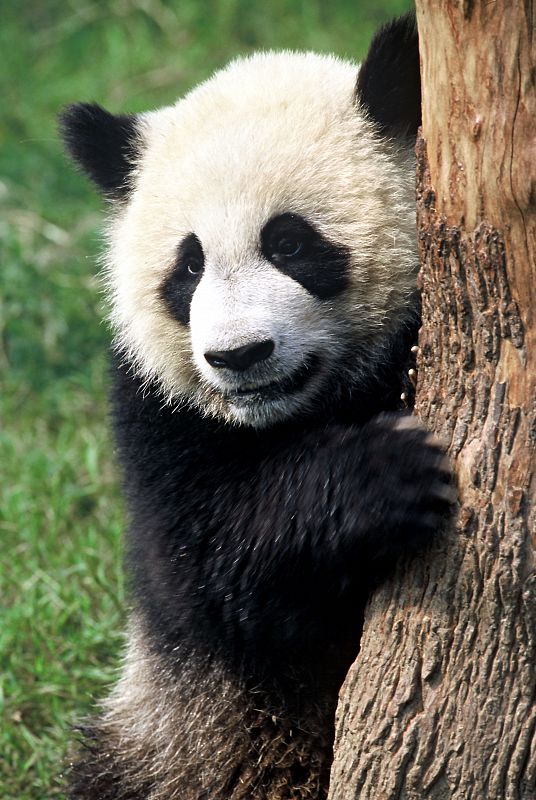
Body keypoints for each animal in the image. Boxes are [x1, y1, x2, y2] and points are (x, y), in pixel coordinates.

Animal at [61, 13, 452, 800]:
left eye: (291, 243)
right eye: (188, 266)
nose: (240, 356)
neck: (285, 417)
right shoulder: (155, 415)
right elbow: (211, 568)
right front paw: (389, 471)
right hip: (174, 740)